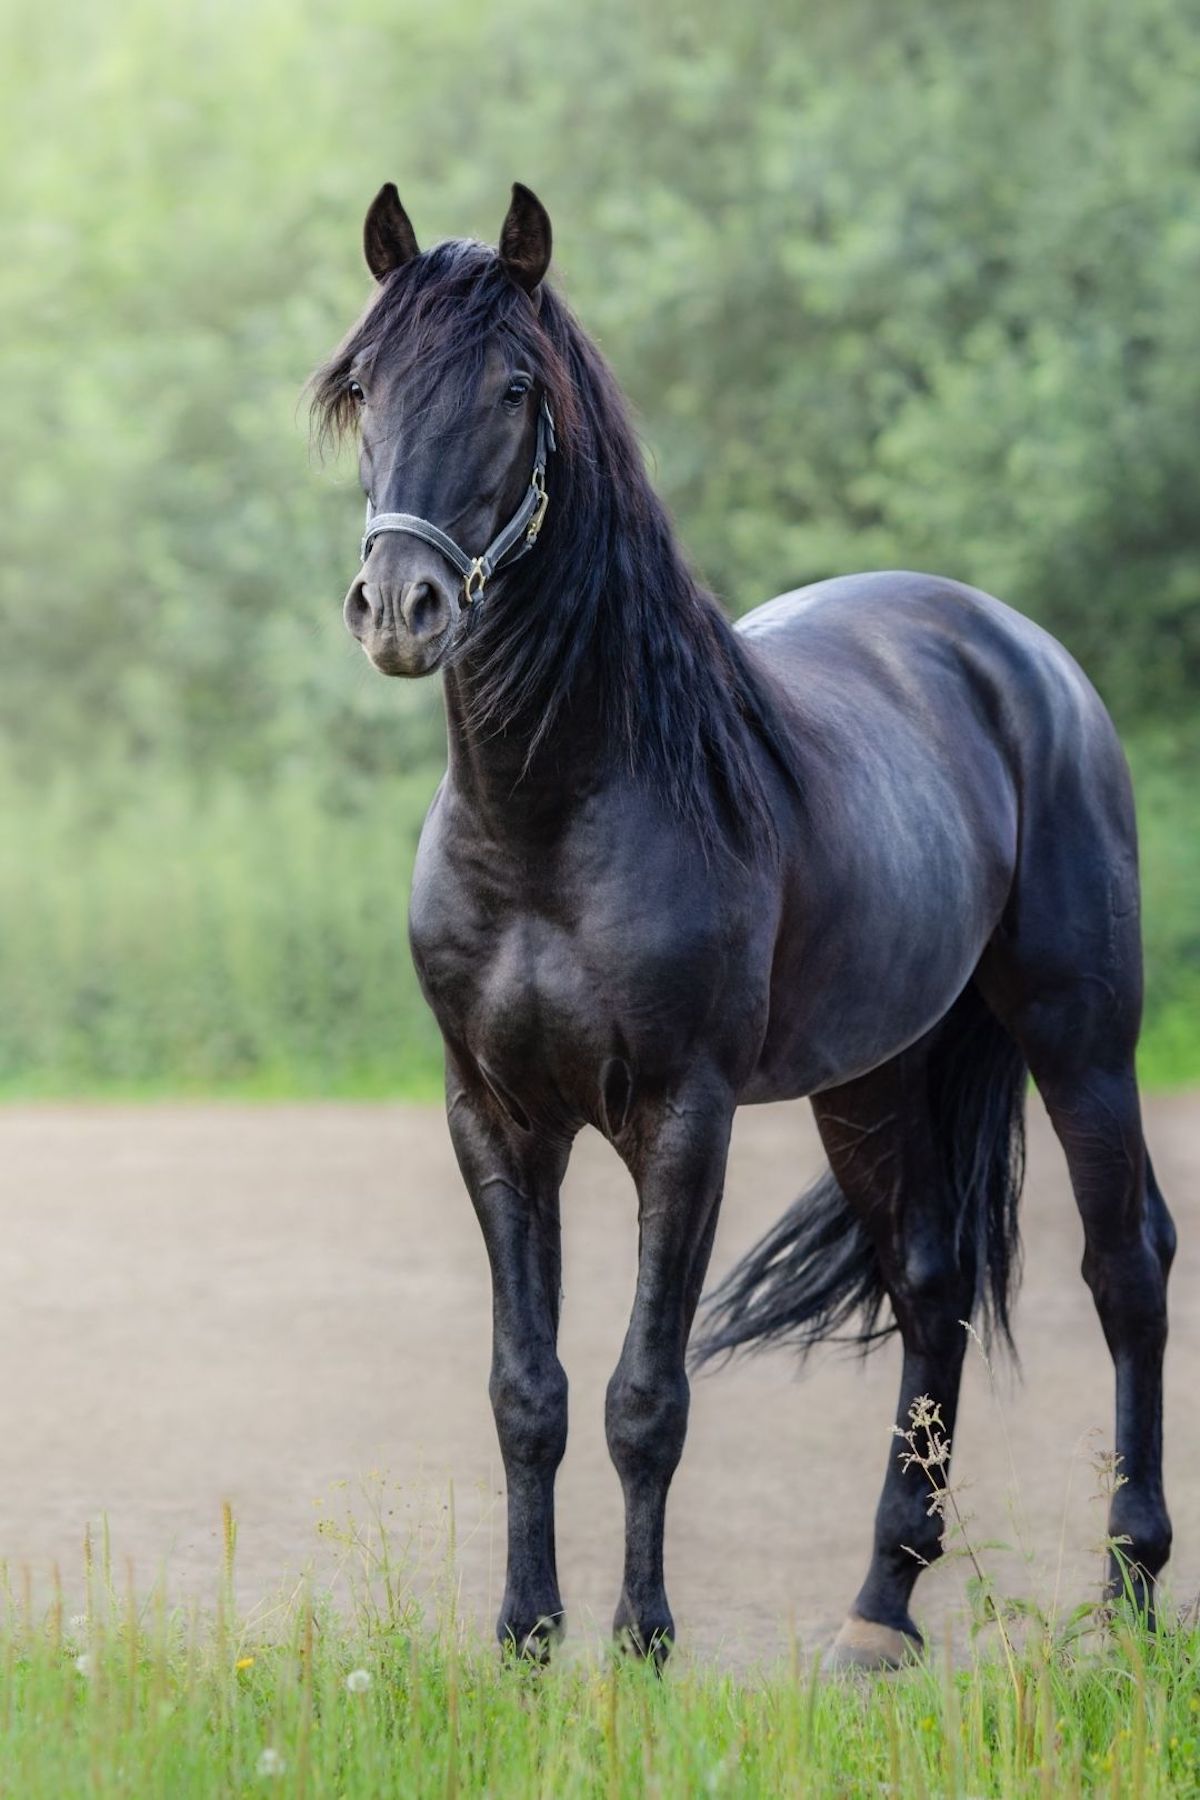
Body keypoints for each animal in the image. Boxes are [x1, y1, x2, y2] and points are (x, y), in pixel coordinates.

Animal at [311, 182, 1174, 1671]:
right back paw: (881, 1610)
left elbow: (645, 1395)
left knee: (1126, 1269)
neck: (554, 816)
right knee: (932, 1287)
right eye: (364, 387)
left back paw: (1125, 1595)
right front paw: (525, 1638)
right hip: (878, 1079)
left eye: (513, 389)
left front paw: (644, 1643)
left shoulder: (683, 1118)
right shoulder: (495, 1116)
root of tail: (1024, 657)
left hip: (1081, 1037)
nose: (401, 610)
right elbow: (527, 1389)